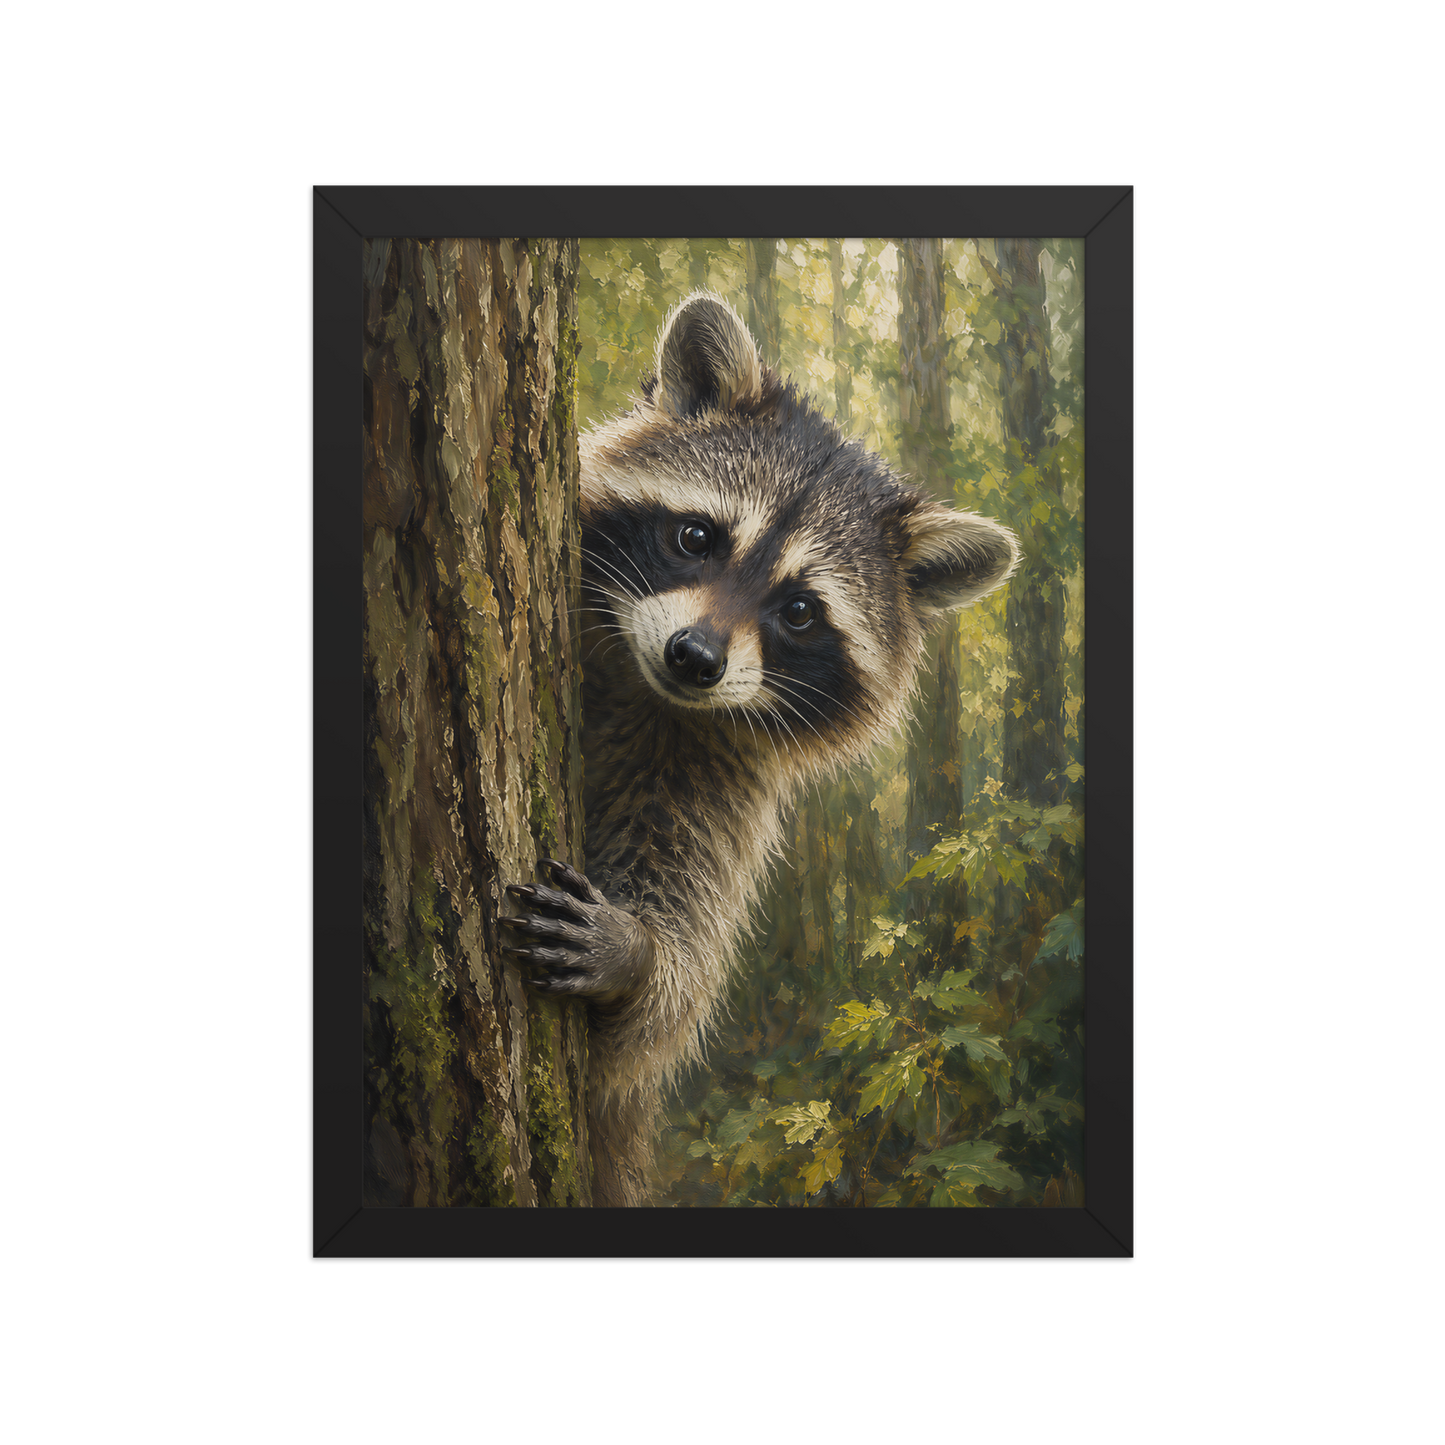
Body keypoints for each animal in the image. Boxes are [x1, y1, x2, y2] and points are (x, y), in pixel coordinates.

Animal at [502, 291, 1018, 1206]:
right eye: (697, 537)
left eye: (801, 611)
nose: (694, 658)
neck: (646, 691)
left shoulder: (717, 783)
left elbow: (657, 1012)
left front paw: (639, 956)